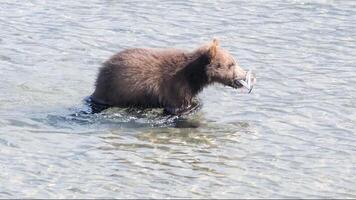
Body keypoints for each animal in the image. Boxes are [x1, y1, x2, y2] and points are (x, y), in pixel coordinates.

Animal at [90, 39, 254, 114]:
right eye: (231, 64)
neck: (193, 77)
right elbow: (178, 105)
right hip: (114, 90)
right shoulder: (175, 88)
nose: (246, 75)